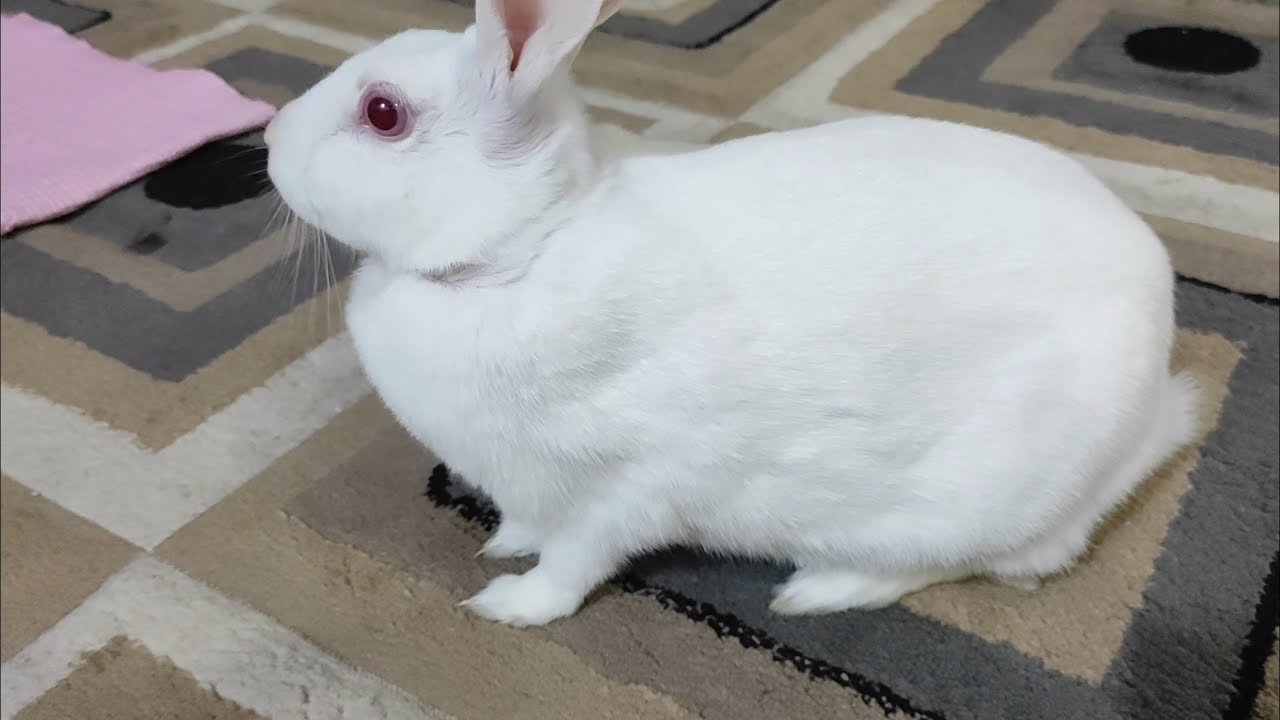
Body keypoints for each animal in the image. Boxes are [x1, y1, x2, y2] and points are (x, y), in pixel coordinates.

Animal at [264, 0, 1200, 627]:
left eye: (383, 112)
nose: (269, 136)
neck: (524, 247)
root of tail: (1159, 411)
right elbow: (531, 525)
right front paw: (503, 544)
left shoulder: (626, 487)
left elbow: (573, 565)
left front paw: (507, 603)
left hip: (975, 502)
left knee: (973, 564)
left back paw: (815, 591)